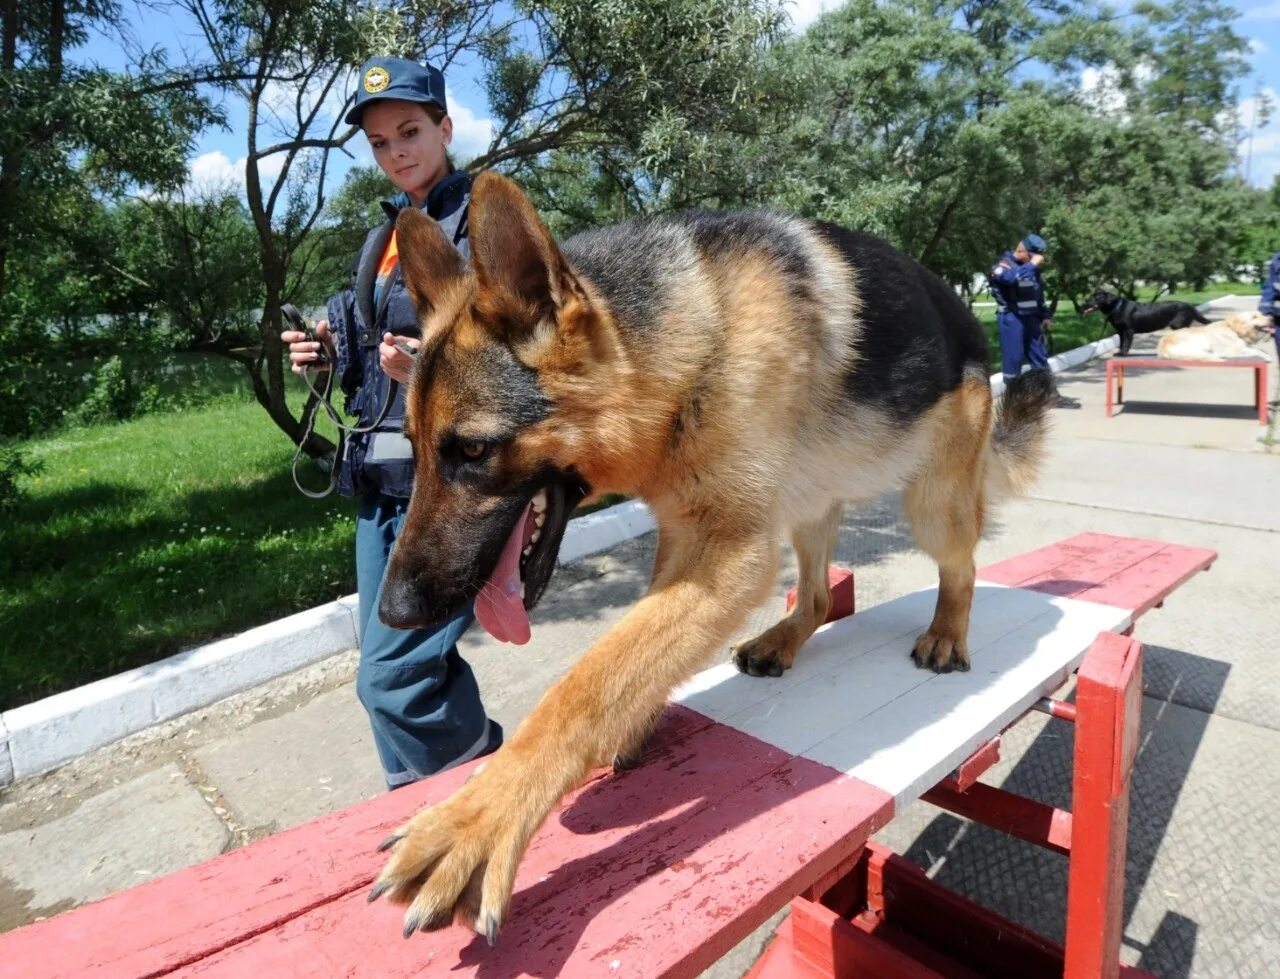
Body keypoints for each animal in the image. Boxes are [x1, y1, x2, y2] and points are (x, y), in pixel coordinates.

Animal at [366, 174, 1054, 941]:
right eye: (415, 447)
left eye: (472, 450)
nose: (393, 613)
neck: (686, 343)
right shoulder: (687, 539)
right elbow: (633, 654)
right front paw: (636, 716)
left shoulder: (727, 556)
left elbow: (589, 682)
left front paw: (475, 820)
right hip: (809, 504)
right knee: (819, 594)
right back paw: (784, 640)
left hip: (931, 505)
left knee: (961, 567)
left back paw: (945, 633)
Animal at [1080, 287, 1208, 358]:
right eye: (1091, 296)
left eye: (1097, 297)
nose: (1084, 302)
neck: (1117, 307)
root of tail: (1190, 306)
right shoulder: (1120, 331)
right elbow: (1121, 343)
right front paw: (1119, 352)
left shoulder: (1128, 331)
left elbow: (1126, 343)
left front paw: (1123, 354)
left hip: (1179, 325)